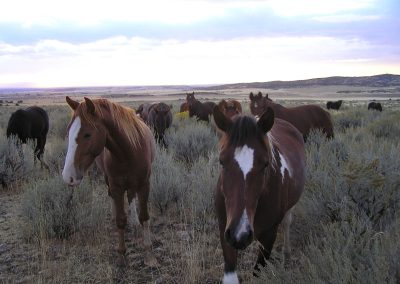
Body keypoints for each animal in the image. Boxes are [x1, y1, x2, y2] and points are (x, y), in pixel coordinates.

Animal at [61, 96, 157, 268]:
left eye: (87, 134)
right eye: (68, 130)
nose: (68, 176)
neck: (129, 151)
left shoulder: (144, 184)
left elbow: (144, 217)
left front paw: (149, 254)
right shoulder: (116, 185)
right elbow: (120, 220)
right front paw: (121, 255)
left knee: (131, 197)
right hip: (108, 179)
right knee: (112, 196)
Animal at [214, 105, 304, 282]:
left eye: (265, 164)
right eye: (221, 161)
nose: (239, 234)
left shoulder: (269, 235)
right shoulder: (225, 230)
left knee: (287, 223)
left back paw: (287, 256)